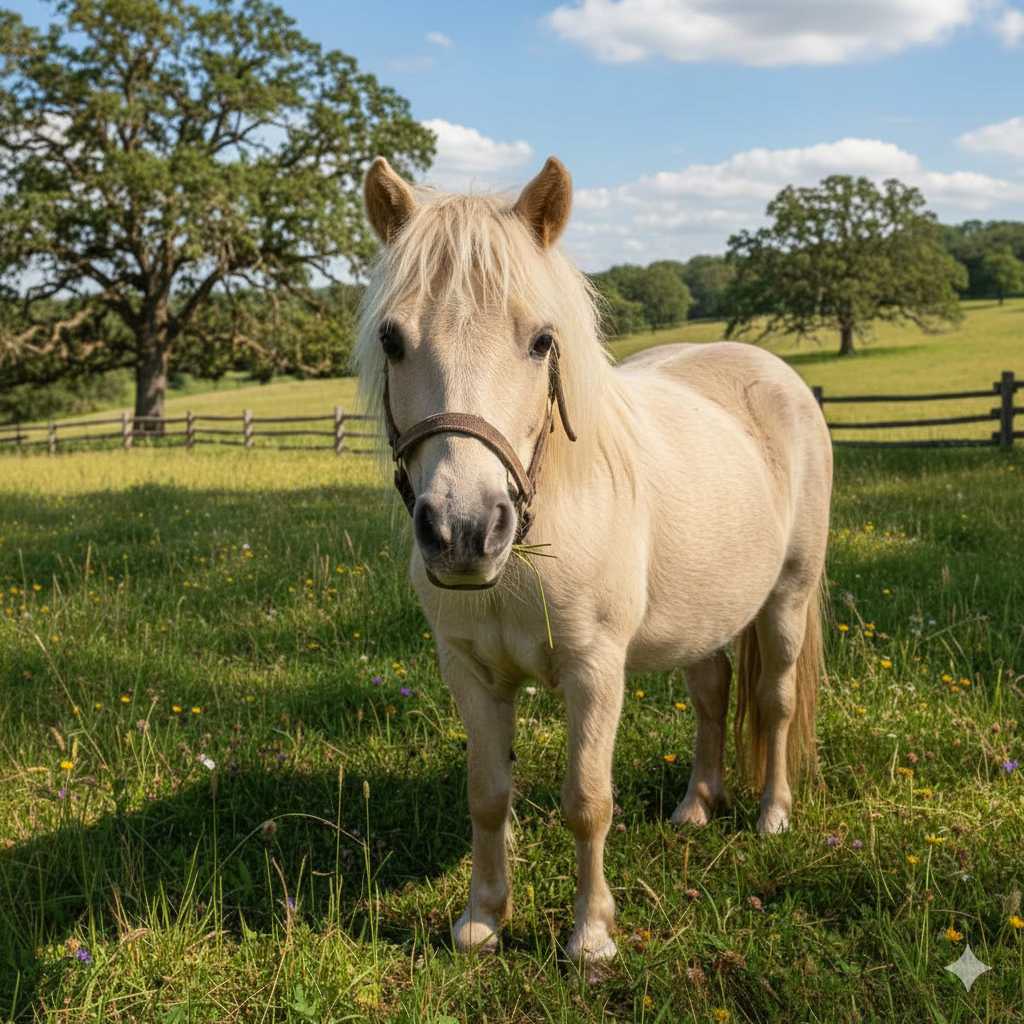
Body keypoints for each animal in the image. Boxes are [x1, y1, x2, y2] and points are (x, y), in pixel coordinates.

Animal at [355, 155, 832, 964]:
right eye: (392, 340)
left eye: (542, 340)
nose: (465, 530)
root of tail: (774, 370)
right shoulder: (470, 673)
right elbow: (488, 795)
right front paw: (482, 920)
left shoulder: (595, 672)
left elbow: (587, 801)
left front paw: (591, 937)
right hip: (703, 617)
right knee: (712, 693)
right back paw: (697, 805)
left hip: (787, 600)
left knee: (774, 702)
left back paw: (772, 814)